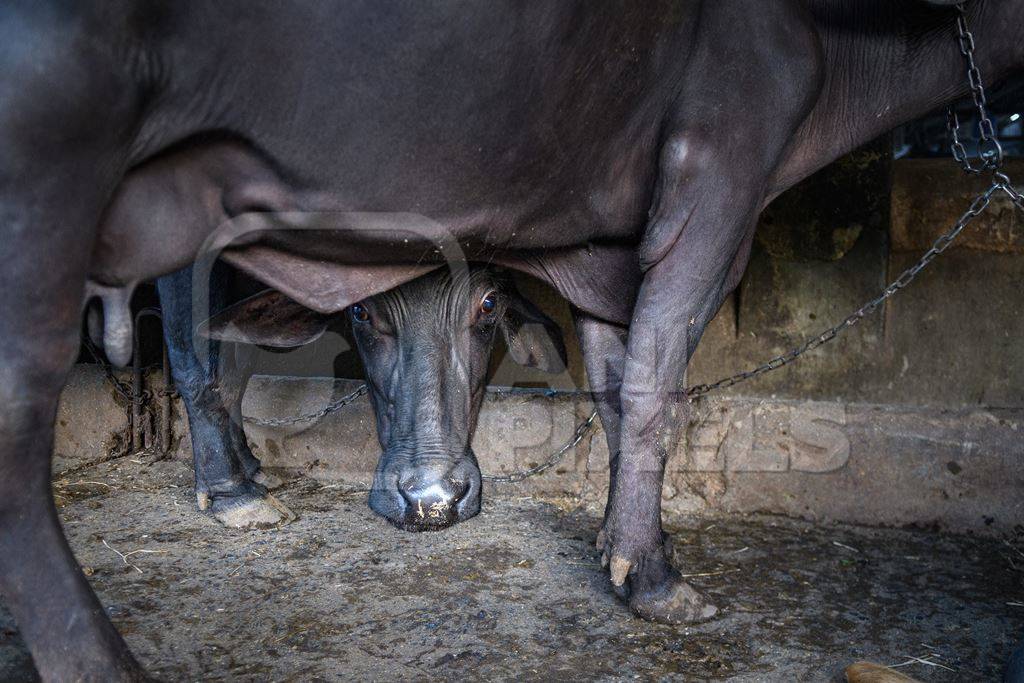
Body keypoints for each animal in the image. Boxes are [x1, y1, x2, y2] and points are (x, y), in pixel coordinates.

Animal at [2, 0, 1024, 679]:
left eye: (491, 305)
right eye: (364, 315)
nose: (429, 500)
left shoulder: (606, 247)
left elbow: (616, 384)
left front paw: (618, 542)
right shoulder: (720, 175)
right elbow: (656, 386)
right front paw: (657, 578)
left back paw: (238, 478)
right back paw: (110, 648)